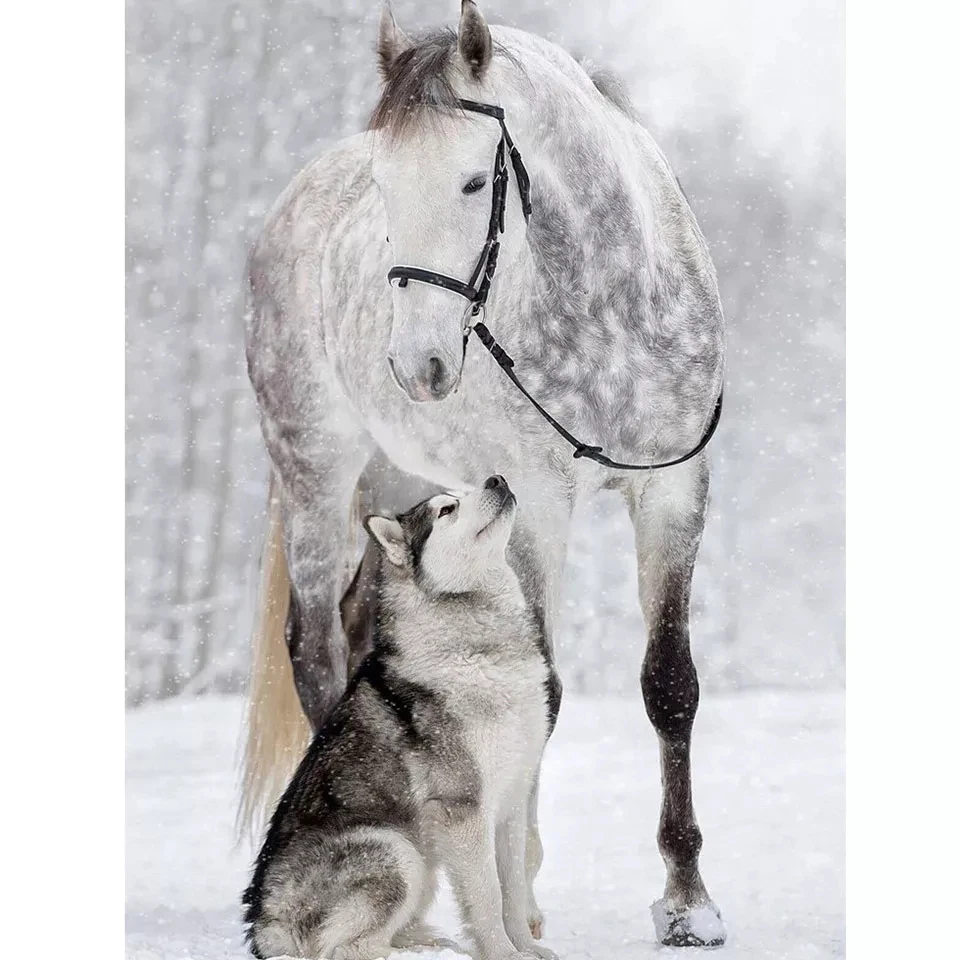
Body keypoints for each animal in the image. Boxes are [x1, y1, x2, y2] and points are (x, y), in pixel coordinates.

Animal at [239, 1, 726, 948]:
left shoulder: (673, 492)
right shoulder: (538, 505)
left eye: (474, 182)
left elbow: (670, 686)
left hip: (397, 492)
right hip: (316, 479)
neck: (613, 306)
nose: (418, 364)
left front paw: (689, 904)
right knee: (316, 652)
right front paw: (522, 897)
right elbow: (546, 689)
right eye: (385, 184)